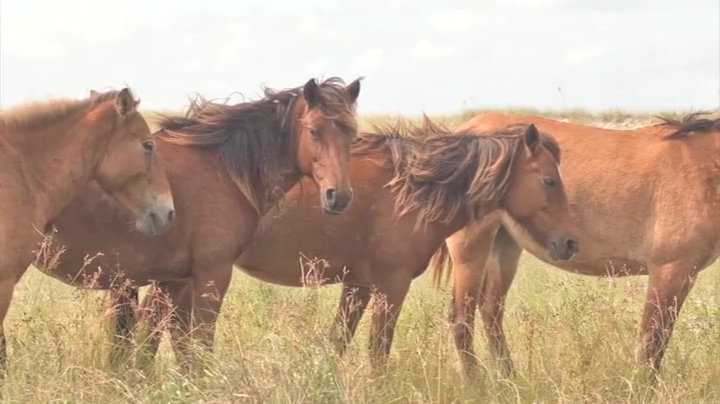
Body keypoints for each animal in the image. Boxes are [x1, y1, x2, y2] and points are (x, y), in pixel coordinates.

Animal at [40, 77, 360, 368]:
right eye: (314, 131)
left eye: (352, 135)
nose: (339, 196)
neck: (222, 170)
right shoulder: (212, 274)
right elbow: (198, 341)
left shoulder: (175, 280)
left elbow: (170, 343)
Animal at [129, 118, 580, 368]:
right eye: (548, 180)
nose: (570, 243)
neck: (412, 188)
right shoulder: (390, 287)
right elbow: (378, 351)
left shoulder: (358, 286)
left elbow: (337, 345)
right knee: (157, 328)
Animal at [434, 113, 720, 376]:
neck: (704, 168)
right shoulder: (669, 269)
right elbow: (651, 342)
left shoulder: (686, 275)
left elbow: (659, 341)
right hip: (471, 248)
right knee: (461, 318)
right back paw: (477, 385)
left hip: (504, 246)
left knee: (491, 311)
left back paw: (510, 380)